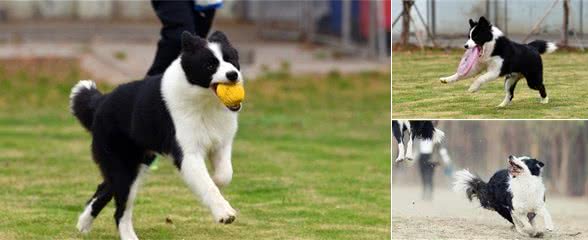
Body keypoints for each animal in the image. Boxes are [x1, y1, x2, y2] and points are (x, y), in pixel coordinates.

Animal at [70, 31, 241, 240]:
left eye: (231, 59)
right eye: (210, 65)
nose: (233, 74)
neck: (204, 102)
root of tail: (101, 102)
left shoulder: (221, 143)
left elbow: (224, 174)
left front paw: (216, 179)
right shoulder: (188, 154)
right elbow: (206, 184)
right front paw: (224, 213)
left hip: (135, 164)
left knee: (105, 187)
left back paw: (83, 224)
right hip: (124, 166)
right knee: (120, 210)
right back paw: (128, 236)